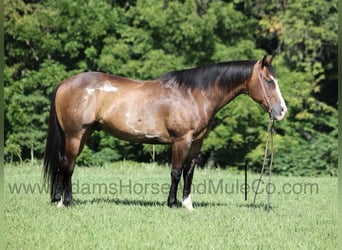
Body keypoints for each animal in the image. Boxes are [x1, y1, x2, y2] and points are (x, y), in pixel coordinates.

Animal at [44, 55, 288, 210]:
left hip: (82, 135)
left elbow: (189, 173)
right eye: (269, 81)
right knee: (67, 166)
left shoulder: (196, 142)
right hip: (75, 135)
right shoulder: (181, 140)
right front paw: (172, 204)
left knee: (65, 164)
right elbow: (176, 172)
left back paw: (60, 200)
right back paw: (65, 202)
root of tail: (65, 83)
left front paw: (188, 205)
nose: (282, 111)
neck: (194, 94)